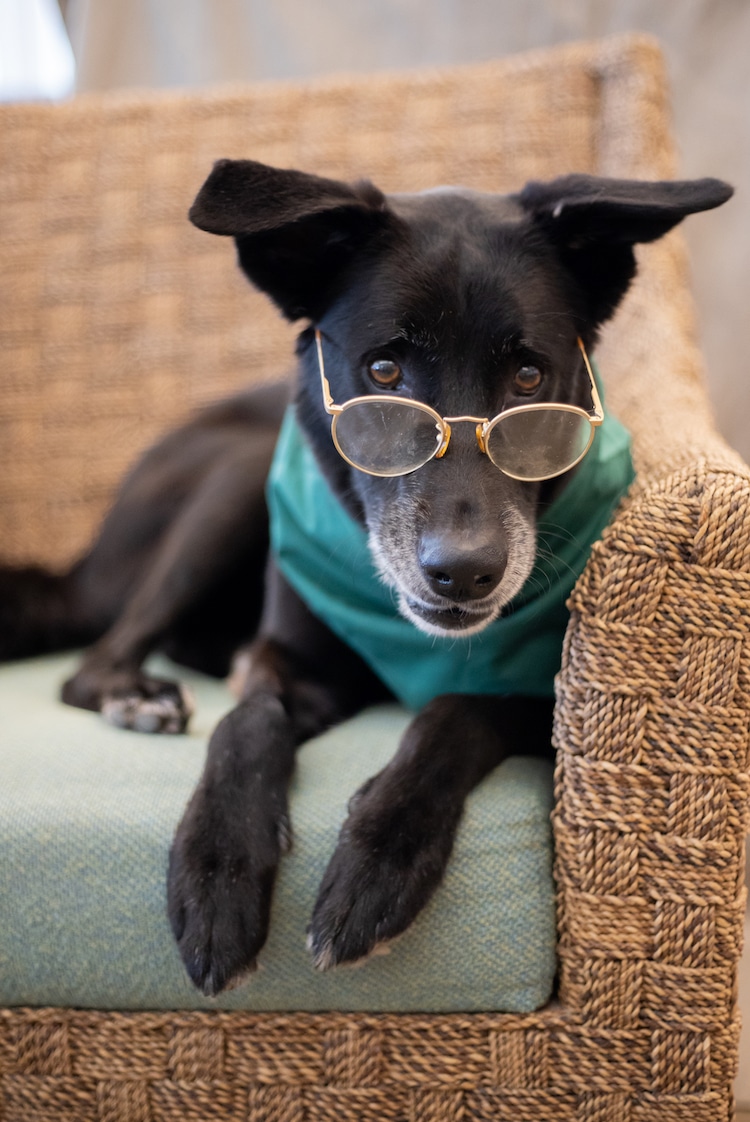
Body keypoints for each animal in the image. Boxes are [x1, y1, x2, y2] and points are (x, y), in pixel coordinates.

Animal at [0, 162, 727, 996]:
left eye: (528, 375)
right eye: (384, 371)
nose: (463, 572)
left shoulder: (537, 693)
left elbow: (453, 712)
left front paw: (378, 860)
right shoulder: (292, 664)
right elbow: (246, 723)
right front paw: (216, 868)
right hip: (237, 477)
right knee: (93, 663)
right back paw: (136, 695)